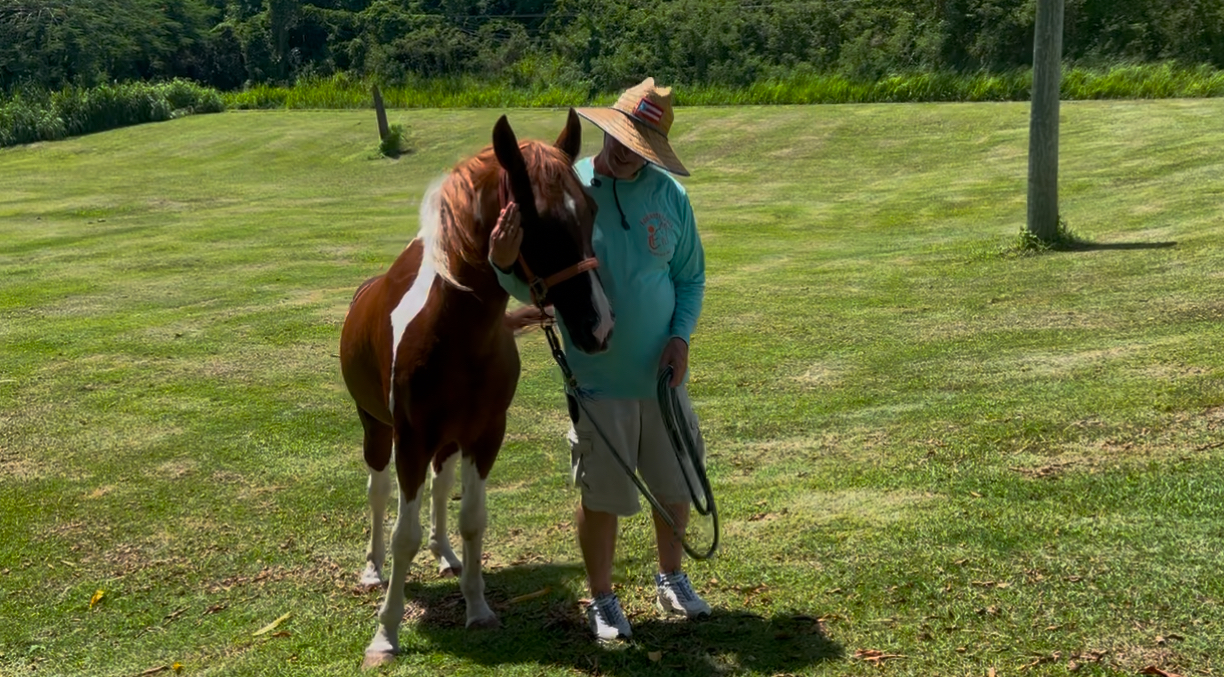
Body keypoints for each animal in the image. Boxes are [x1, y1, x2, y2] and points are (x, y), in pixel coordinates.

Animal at [339, 109, 613, 667]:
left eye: (592, 208)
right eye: (537, 223)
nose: (598, 327)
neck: (456, 331)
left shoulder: (484, 435)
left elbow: (472, 518)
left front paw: (478, 605)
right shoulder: (411, 440)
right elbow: (403, 535)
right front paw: (386, 632)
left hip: (447, 441)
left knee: (441, 488)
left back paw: (445, 557)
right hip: (377, 430)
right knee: (378, 493)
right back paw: (372, 568)